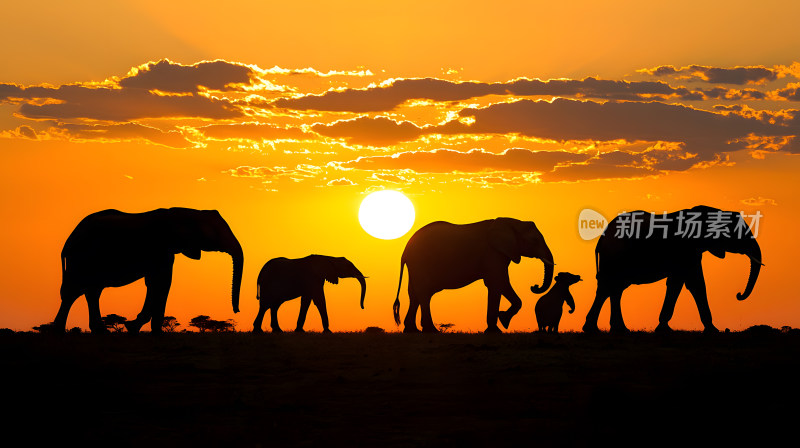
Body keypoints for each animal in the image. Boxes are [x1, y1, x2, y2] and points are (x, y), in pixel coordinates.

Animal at [56, 207, 244, 332]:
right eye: (216, 232)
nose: (237, 311)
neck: (185, 212)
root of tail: (68, 240)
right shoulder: (159, 249)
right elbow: (160, 282)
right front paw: (135, 328)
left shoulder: (167, 252)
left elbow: (160, 283)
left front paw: (148, 330)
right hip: (82, 258)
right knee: (73, 291)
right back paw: (58, 330)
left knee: (92, 291)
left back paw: (100, 332)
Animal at [390, 217, 552, 332]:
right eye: (535, 240)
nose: (534, 286)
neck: (512, 222)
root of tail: (405, 250)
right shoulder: (493, 254)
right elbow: (498, 282)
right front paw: (501, 324)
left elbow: (495, 284)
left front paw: (497, 326)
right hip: (420, 262)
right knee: (424, 293)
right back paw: (431, 330)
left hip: (415, 266)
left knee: (414, 294)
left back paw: (412, 330)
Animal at [584, 206, 764, 332]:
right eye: (739, 233)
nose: (738, 295)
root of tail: (602, 237)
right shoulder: (685, 250)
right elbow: (690, 283)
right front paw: (713, 330)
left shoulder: (693, 252)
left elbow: (688, 283)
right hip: (615, 258)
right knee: (607, 288)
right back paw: (593, 329)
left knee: (615, 289)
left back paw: (619, 329)